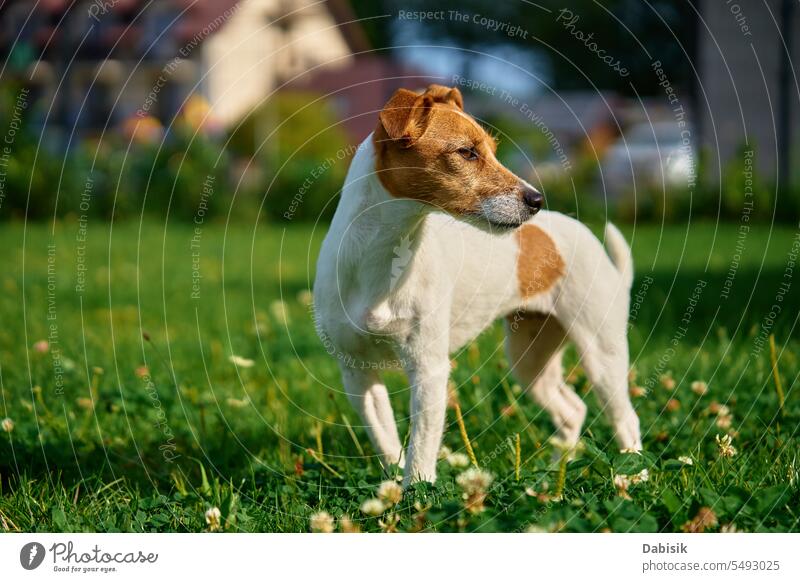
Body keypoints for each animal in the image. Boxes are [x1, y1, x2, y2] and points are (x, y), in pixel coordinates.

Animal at [310, 85, 636, 488]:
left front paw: (416, 496)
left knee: (626, 418)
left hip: (600, 351)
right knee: (572, 410)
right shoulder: (357, 373)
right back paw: (553, 474)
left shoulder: (429, 369)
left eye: (493, 149)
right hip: (531, 360)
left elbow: (421, 449)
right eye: (467, 152)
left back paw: (634, 476)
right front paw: (392, 490)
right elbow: (387, 444)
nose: (537, 200)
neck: (382, 259)